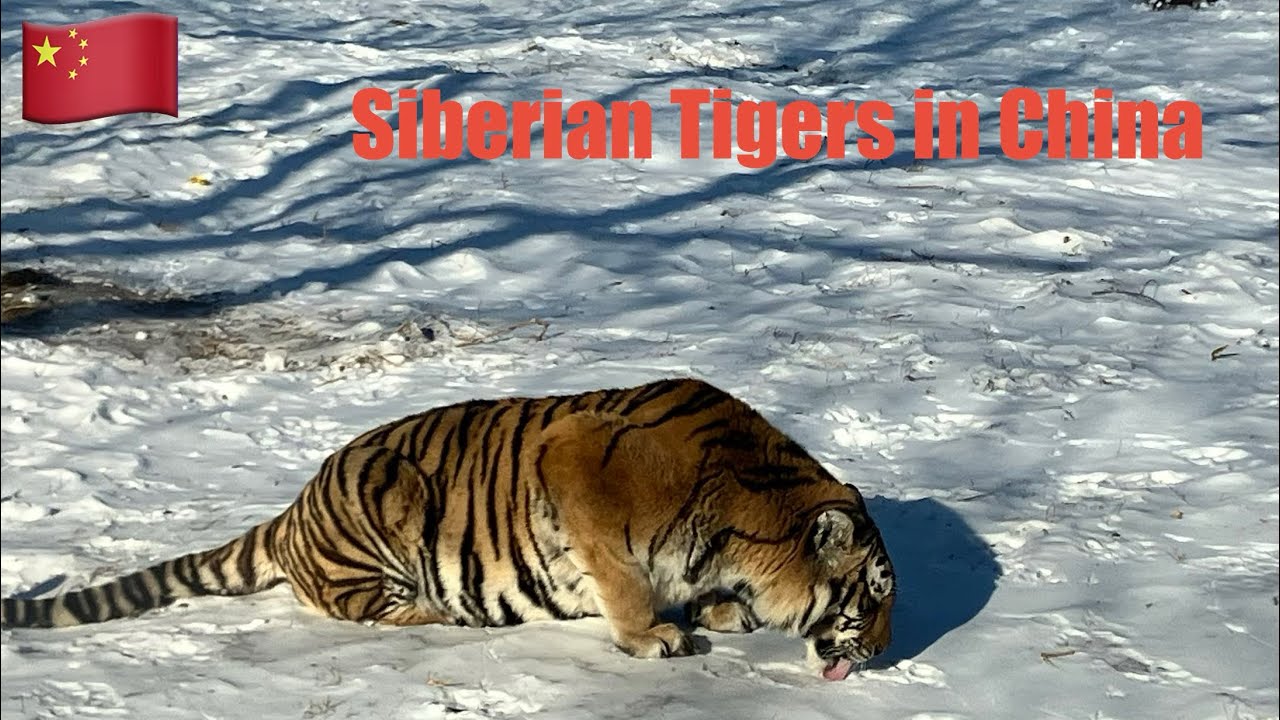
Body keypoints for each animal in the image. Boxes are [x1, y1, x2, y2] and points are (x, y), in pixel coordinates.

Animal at [0, 378, 895, 681]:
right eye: (876, 595)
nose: (885, 654)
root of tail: (294, 507)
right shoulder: (579, 462)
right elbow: (624, 579)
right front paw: (654, 636)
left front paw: (714, 611)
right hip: (388, 495)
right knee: (362, 606)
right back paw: (442, 613)